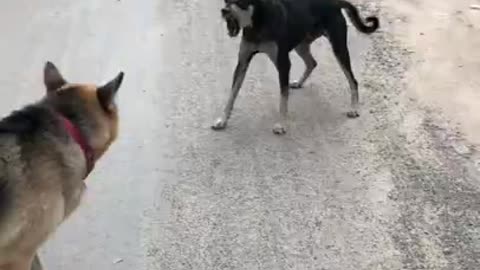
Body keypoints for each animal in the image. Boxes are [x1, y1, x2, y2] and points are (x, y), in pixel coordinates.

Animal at [212, 0, 380, 134]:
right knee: (312, 63)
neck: (258, 23)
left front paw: (281, 124)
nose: (224, 11)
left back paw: (354, 108)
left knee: (353, 80)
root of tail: (335, 3)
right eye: (225, 0)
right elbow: (232, 95)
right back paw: (299, 83)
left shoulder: (283, 63)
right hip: (301, 44)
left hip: (338, 48)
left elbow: (283, 97)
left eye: (240, 1)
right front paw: (222, 120)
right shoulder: (242, 62)